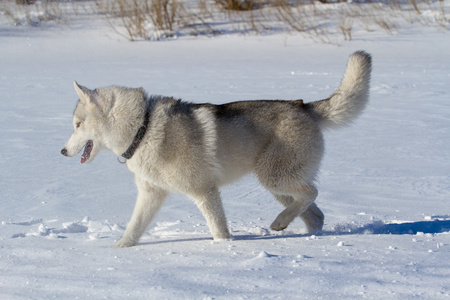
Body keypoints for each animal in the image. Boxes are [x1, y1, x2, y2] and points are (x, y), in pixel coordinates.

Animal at [61, 51, 370, 248]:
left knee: (312, 193)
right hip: (279, 185)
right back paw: (298, 233)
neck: (143, 128)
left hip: (275, 178)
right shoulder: (152, 194)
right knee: (315, 214)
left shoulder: (204, 191)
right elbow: (133, 228)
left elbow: (219, 230)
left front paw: (224, 251)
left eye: (77, 124)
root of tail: (304, 106)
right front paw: (116, 251)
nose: (62, 152)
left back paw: (281, 223)